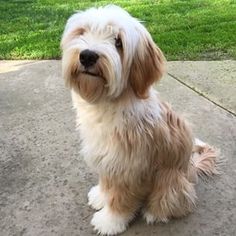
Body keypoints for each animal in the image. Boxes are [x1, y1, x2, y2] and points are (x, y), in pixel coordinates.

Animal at [60, 4, 219, 235]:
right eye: (82, 32)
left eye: (118, 42)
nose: (87, 56)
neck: (108, 104)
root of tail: (191, 170)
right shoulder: (106, 157)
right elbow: (106, 182)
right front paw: (101, 196)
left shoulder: (129, 166)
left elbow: (120, 199)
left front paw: (109, 221)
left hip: (169, 180)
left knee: (177, 200)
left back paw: (154, 213)